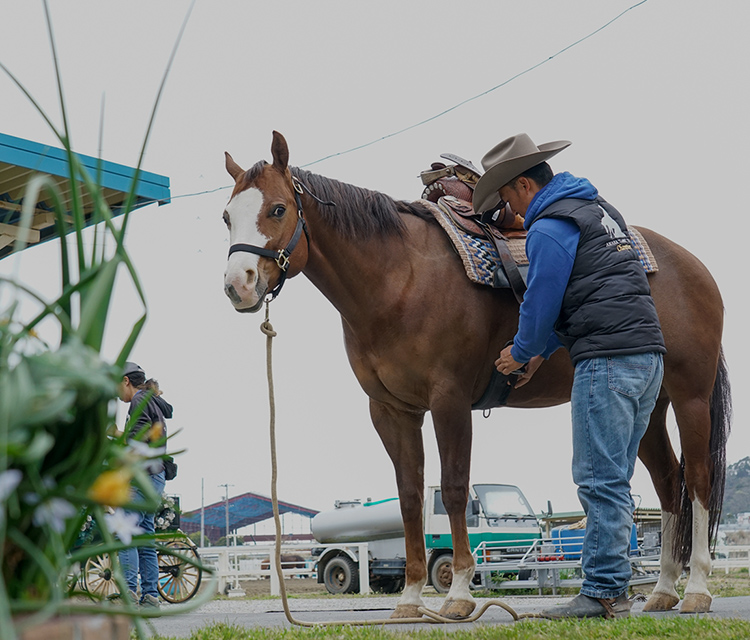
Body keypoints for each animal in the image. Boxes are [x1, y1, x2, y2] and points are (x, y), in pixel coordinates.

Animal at [220, 131, 732, 620]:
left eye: (278, 208)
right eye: (226, 216)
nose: (237, 285)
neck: (398, 279)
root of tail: (693, 267)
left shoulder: (449, 400)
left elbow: (452, 490)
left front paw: (460, 593)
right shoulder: (391, 410)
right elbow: (410, 497)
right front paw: (410, 598)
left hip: (689, 396)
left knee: (699, 479)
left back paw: (696, 589)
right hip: (647, 405)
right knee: (667, 483)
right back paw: (662, 590)